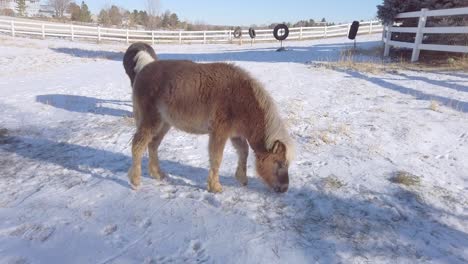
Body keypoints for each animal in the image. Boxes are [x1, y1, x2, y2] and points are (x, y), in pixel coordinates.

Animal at [122, 42, 294, 193]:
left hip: (164, 124)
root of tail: (144, 69)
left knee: (153, 145)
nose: (284, 189)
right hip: (151, 121)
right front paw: (215, 187)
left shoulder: (235, 134)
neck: (240, 98)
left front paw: (242, 178)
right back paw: (135, 180)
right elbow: (216, 157)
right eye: (279, 163)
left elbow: (243, 151)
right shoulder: (219, 133)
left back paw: (157, 174)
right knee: (138, 145)